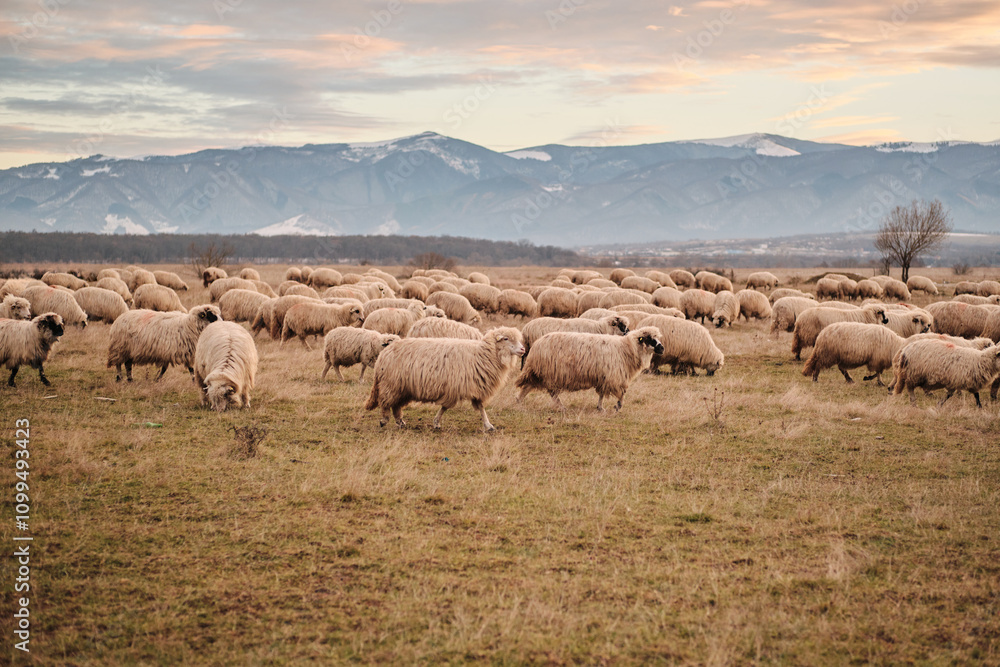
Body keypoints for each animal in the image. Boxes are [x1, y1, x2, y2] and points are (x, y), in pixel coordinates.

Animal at [365, 327, 525, 431]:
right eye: (506, 338)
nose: (523, 350)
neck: (481, 355)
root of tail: (384, 353)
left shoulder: (474, 387)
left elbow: (480, 408)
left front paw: (488, 425)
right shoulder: (455, 387)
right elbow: (446, 407)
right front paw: (436, 423)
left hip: (401, 387)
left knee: (396, 405)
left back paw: (400, 422)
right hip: (391, 384)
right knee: (386, 402)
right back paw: (384, 420)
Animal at [515, 327, 664, 412]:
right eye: (650, 339)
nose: (662, 348)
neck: (626, 349)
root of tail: (537, 344)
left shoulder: (604, 377)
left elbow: (602, 394)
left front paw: (600, 408)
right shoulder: (613, 377)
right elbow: (622, 393)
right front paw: (617, 406)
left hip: (539, 373)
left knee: (528, 387)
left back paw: (518, 402)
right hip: (549, 373)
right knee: (551, 392)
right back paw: (561, 407)